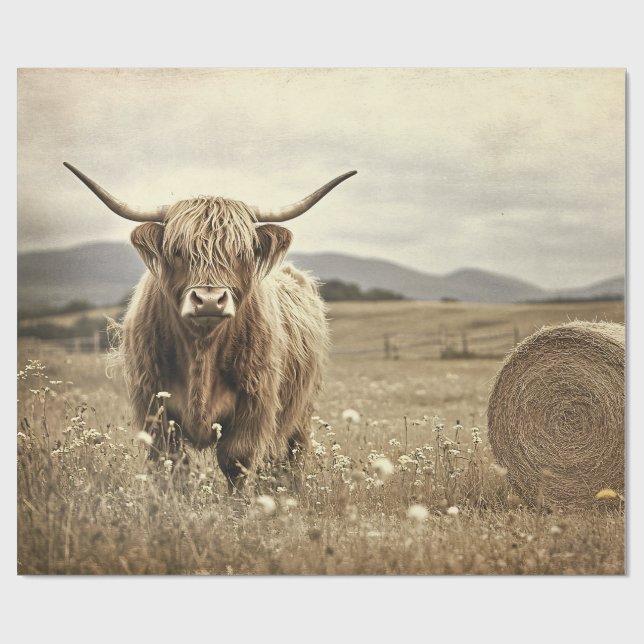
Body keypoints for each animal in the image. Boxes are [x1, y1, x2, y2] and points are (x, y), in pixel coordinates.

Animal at [63, 162, 356, 490]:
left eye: (241, 252)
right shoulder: (154, 406)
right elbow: (172, 466)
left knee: (290, 454)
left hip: (302, 411)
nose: (209, 301)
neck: (201, 349)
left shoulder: (254, 405)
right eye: (177, 251)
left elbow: (235, 461)